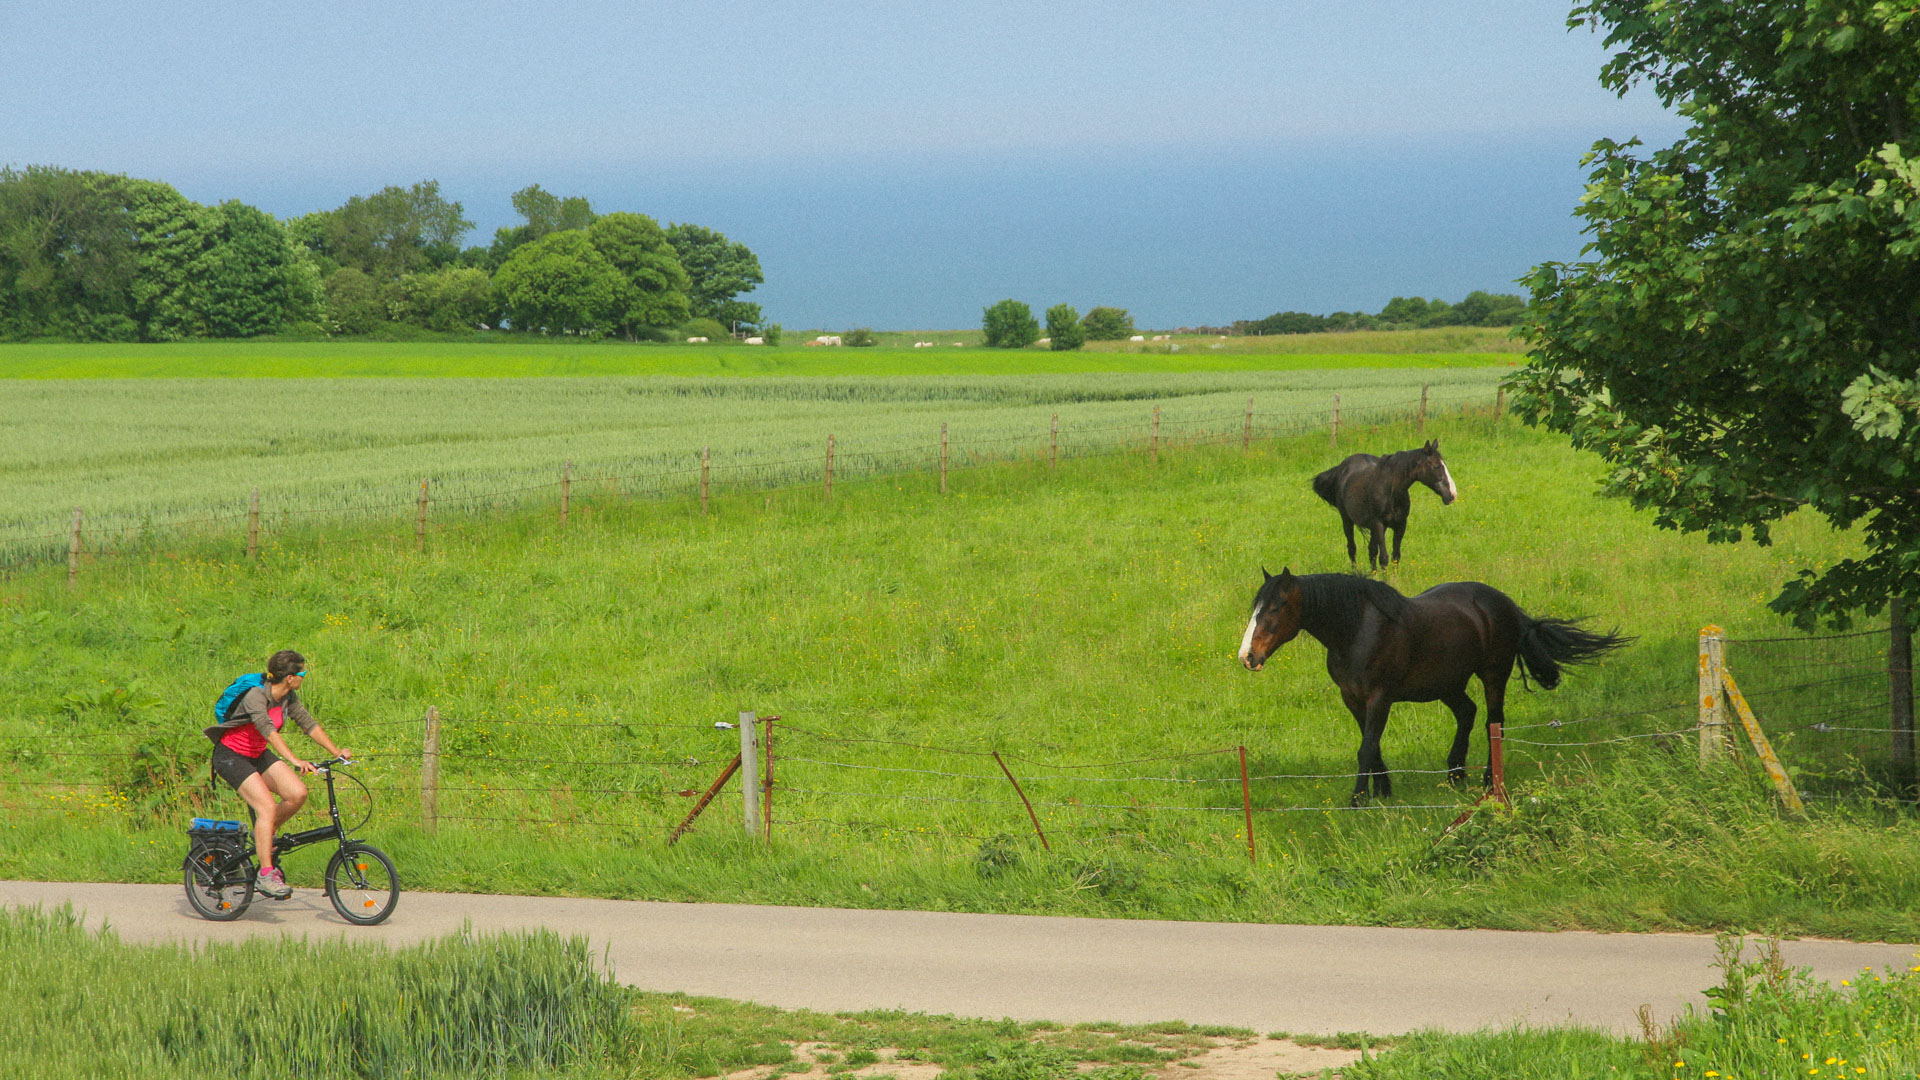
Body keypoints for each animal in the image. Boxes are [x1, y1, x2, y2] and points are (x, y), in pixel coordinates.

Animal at [1236, 568, 1628, 803]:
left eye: (1276, 607)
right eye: (1256, 607)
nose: (1248, 656)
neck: (1357, 631)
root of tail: (1509, 607)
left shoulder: (1380, 697)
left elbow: (1366, 747)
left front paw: (1358, 799)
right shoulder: (1353, 698)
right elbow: (1371, 745)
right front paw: (1382, 790)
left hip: (1492, 675)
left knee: (1493, 723)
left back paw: (1488, 781)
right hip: (1448, 684)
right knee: (1468, 713)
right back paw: (1455, 773)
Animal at [1320, 440, 1451, 572]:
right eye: (1437, 466)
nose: (1451, 495)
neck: (1391, 490)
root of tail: (1341, 469)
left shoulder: (1400, 525)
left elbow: (1395, 556)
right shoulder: (1379, 524)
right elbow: (1383, 557)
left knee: (1371, 550)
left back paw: (1373, 573)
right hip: (1347, 520)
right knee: (1352, 548)